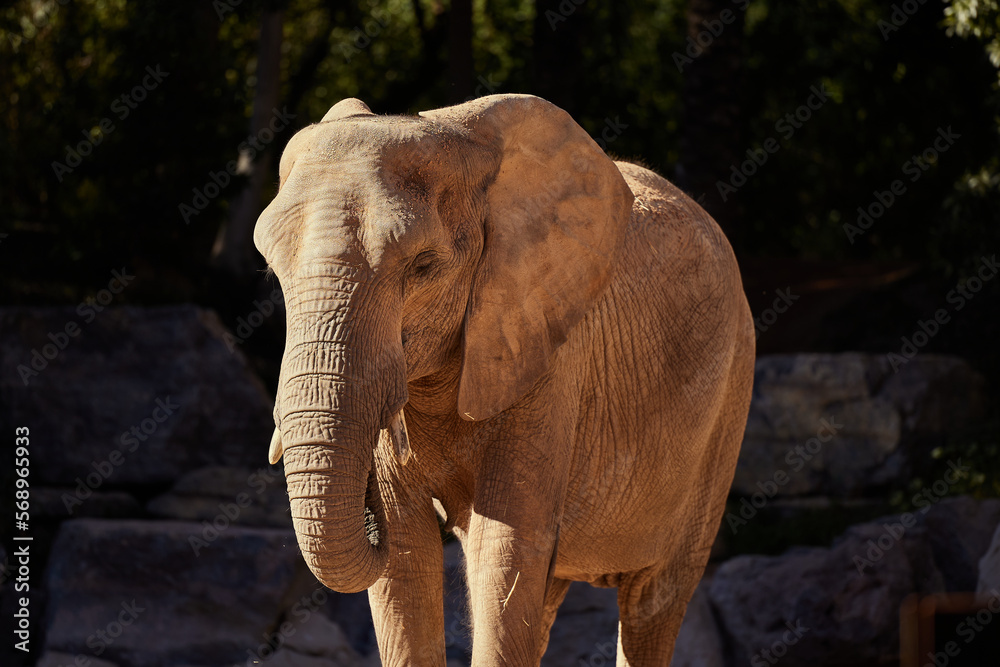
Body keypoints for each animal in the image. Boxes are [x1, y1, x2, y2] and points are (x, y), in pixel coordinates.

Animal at [253, 94, 754, 666]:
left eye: (423, 267)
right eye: (272, 269)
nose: (367, 505)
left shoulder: (546, 355)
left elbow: (504, 546)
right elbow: (405, 554)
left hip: (728, 401)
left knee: (654, 599)